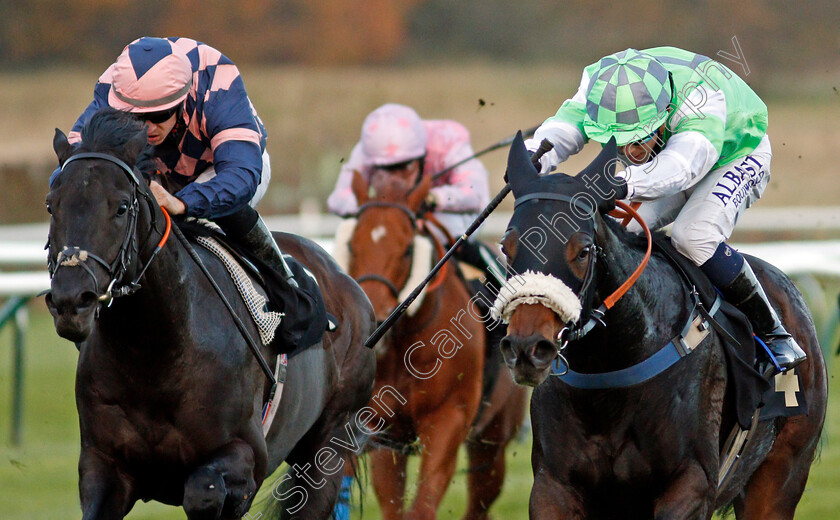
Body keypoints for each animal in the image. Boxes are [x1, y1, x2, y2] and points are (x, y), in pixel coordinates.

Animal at [44, 107, 376, 516]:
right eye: (51, 205)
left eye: (121, 206)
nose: (71, 301)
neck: (154, 355)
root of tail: (344, 278)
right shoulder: (103, 465)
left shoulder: (246, 457)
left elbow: (204, 490)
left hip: (328, 443)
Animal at [342, 172, 524, 520]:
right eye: (351, 246)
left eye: (407, 249)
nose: (376, 319)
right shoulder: (382, 434)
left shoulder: (447, 422)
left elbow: (422, 506)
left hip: (493, 440)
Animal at [492, 135, 828, 520]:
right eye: (506, 247)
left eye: (583, 250)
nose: (526, 348)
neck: (610, 368)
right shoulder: (553, 485)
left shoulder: (692, 482)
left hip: (780, 475)